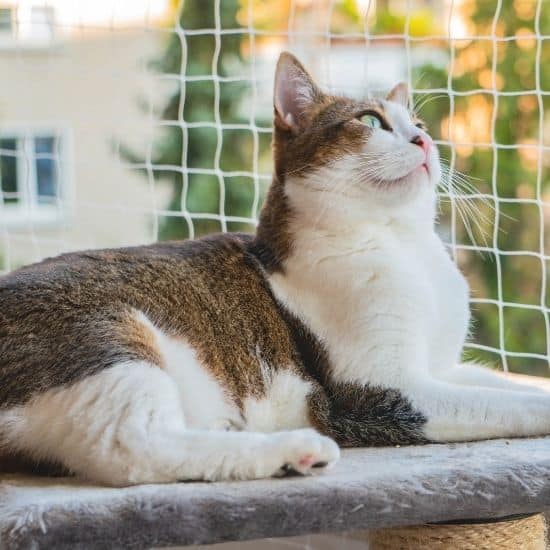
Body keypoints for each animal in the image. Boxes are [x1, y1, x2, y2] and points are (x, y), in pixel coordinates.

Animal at [1, 54, 550, 490]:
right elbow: (500, 404)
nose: (425, 140)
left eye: (417, 122)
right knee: (130, 448)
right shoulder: (375, 393)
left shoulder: (439, 368)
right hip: (107, 334)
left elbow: (501, 384)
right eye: (371, 122)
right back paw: (292, 451)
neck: (403, 244)